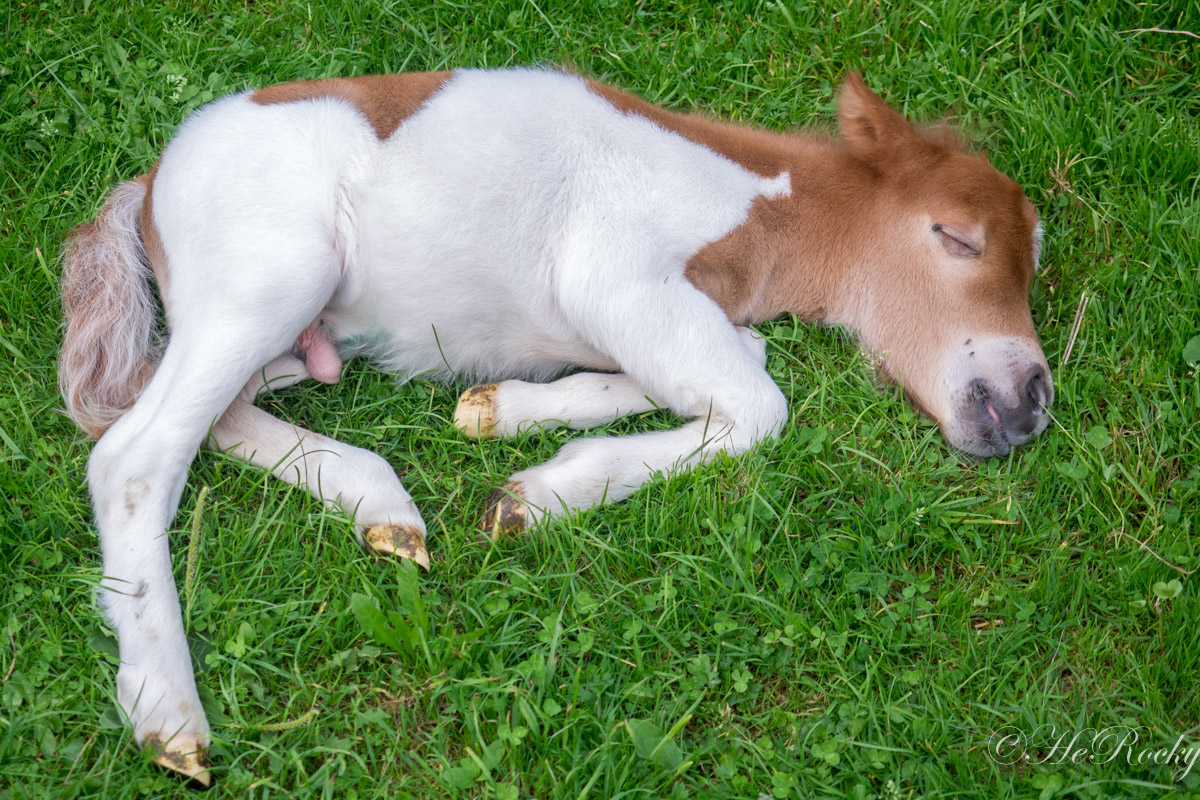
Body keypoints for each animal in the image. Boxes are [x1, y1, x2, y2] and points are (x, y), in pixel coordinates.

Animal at [58, 68, 1051, 782]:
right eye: (956, 237)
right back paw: (169, 715)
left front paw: (502, 411)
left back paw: (384, 507)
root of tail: (148, 182)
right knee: (134, 454)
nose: (1030, 399)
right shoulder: (614, 277)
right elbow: (761, 404)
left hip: (289, 333)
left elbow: (739, 364)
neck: (749, 213)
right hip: (273, 281)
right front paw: (536, 497)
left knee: (210, 412)